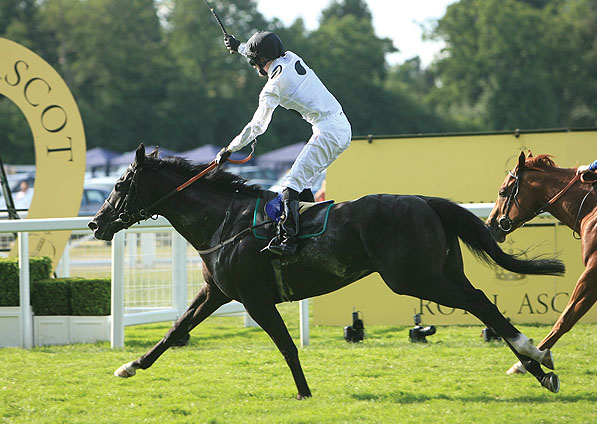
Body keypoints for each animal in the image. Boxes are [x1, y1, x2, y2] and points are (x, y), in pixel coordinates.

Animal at [87, 145, 564, 398]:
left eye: (119, 184)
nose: (95, 223)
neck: (225, 220)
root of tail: (425, 201)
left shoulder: (256, 300)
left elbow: (285, 345)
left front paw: (303, 391)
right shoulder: (218, 293)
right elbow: (175, 329)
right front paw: (130, 365)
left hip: (415, 279)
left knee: (480, 303)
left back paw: (535, 356)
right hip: (442, 272)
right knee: (484, 306)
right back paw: (540, 367)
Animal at [486, 152, 592, 374]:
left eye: (502, 192)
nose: (489, 225)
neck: (589, 207)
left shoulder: (591, 270)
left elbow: (567, 317)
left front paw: (526, 361)